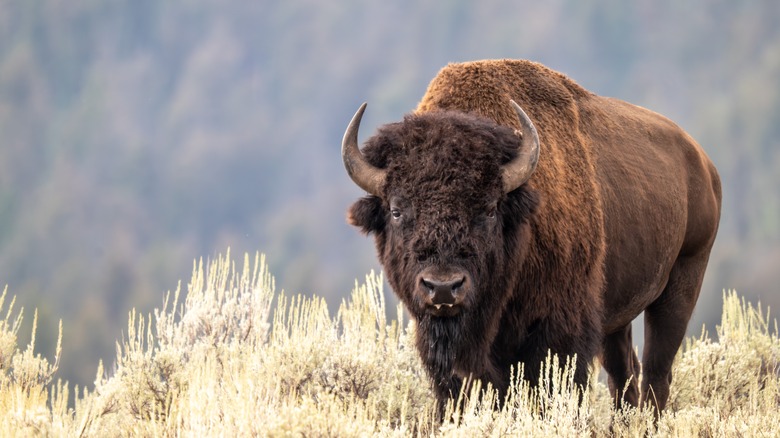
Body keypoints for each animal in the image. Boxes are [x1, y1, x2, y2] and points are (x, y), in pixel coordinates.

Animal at [344, 59, 724, 414]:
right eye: (396, 210)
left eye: (489, 209)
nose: (442, 287)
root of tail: (703, 164)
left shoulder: (560, 332)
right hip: (617, 314)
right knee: (623, 374)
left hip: (682, 282)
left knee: (657, 374)